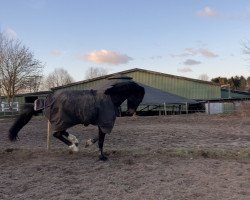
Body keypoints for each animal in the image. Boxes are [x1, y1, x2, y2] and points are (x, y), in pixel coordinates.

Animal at [8, 80, 145, 160]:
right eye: (138, 97)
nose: (130, 112)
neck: (110, 98)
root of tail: (46, 101)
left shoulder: (102, 124)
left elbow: (99, 138)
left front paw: (88, 143)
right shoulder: (104, 123)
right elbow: (101, 140)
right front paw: (102, 157)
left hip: (66, 121)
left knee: (61, 132)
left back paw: (75, 141)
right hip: (63, 120)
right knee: (57, 134)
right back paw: (73, 147)